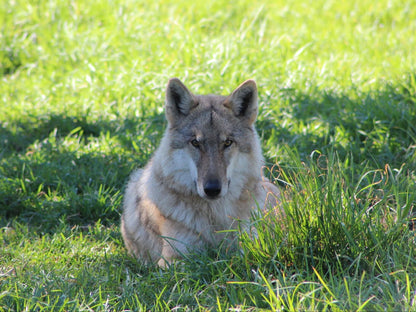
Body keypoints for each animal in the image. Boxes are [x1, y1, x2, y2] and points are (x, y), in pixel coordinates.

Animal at [122, 78, 282, 266]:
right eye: (195, 143)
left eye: (227, 142)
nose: (212, 189)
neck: (214, 217)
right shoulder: (173, 259)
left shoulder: (251, 243)